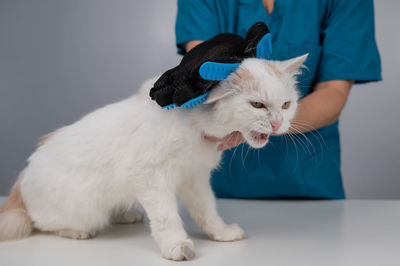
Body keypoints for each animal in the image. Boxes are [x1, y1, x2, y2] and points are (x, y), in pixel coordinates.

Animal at [0, 55, 306, 260]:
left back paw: (124, 215)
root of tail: (21, 182)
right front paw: (176, 246)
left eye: (286, 105)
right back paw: (76, 232)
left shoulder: (194, 179)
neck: (195, 127)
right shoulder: (149, 177)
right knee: (39, 223)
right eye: (257, 105)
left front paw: (221, 234)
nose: (278, 124)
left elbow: (208, 212)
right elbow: (166, 218)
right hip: (81, 211)